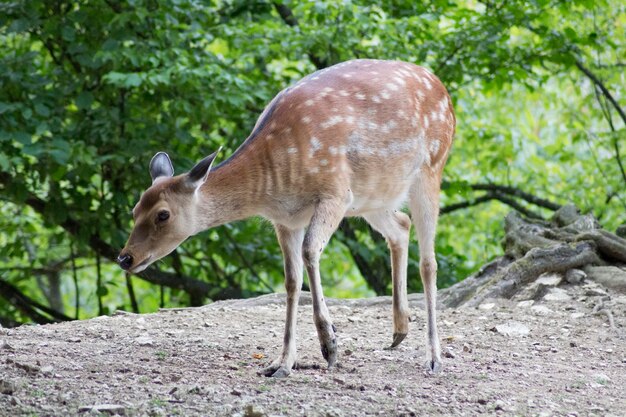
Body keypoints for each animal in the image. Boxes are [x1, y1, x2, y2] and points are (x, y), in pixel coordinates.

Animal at [117, 59, 454, 376]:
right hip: (373, 197)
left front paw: (329, 345)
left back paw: (434, 356)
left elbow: (310, 251)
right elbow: (292, 281)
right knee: (401, 227)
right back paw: (399, 330)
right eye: (134, 209)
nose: (125, 257)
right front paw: (282, 363)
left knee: (428, 261)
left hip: (429, 169)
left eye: (163, 214)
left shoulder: (335, 193)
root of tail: (444, 90)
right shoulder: (285, 219)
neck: (276, 182)